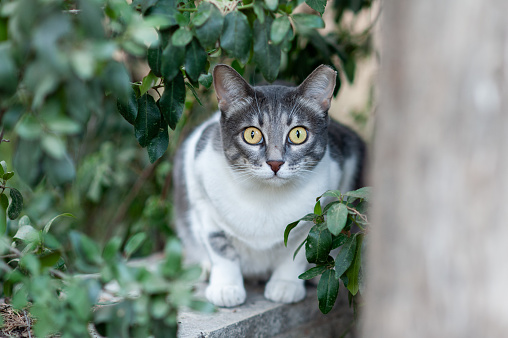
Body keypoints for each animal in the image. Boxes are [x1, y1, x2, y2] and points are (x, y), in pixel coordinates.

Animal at [173, 62, 364, 306]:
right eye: (252, 134)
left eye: (298, 134)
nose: (275, 162)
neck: (266, 198)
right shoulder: (200, 189)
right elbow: (220, 247)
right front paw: (226, 287)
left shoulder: (324, 203)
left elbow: (299, 250)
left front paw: (286, 284)